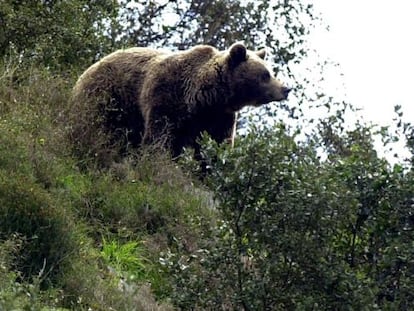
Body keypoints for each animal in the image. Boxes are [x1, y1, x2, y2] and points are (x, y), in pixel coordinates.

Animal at [68, 43, 292, 166]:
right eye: (266, 74)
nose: (286, 89)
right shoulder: (167, 96)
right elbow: (160, 135)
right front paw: (157, 160)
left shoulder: (219, 117)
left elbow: (217, 145)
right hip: (108, 96)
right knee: (96, 122)